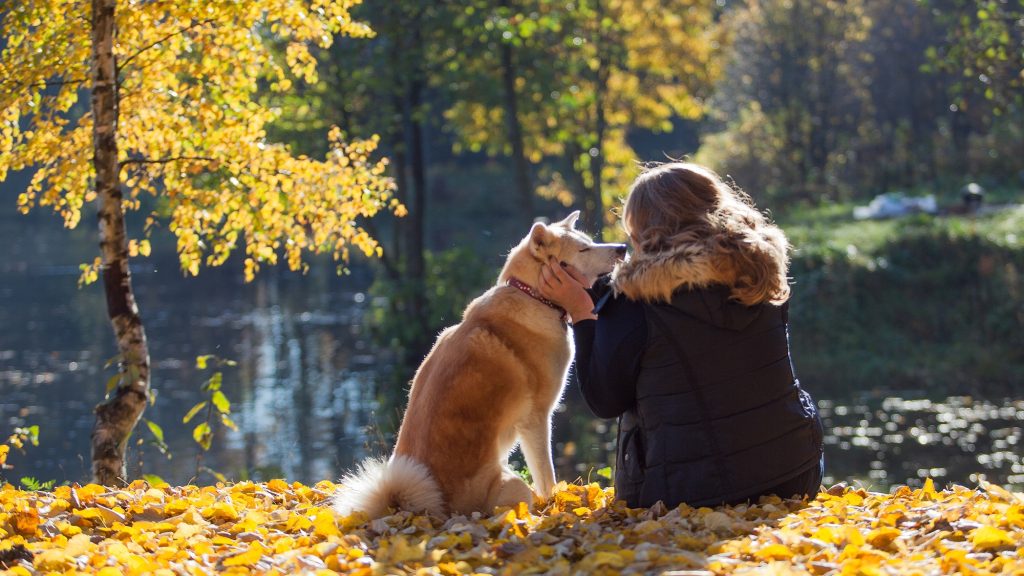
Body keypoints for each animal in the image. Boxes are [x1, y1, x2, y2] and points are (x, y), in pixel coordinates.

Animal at [333, 211, 622, 516]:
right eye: (583, 249)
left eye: (590, 242)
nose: (622, 248)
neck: (531, 295)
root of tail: (418, 507)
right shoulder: (536, 419)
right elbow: (547, 478)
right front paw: (556, 504)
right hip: (515, 484)